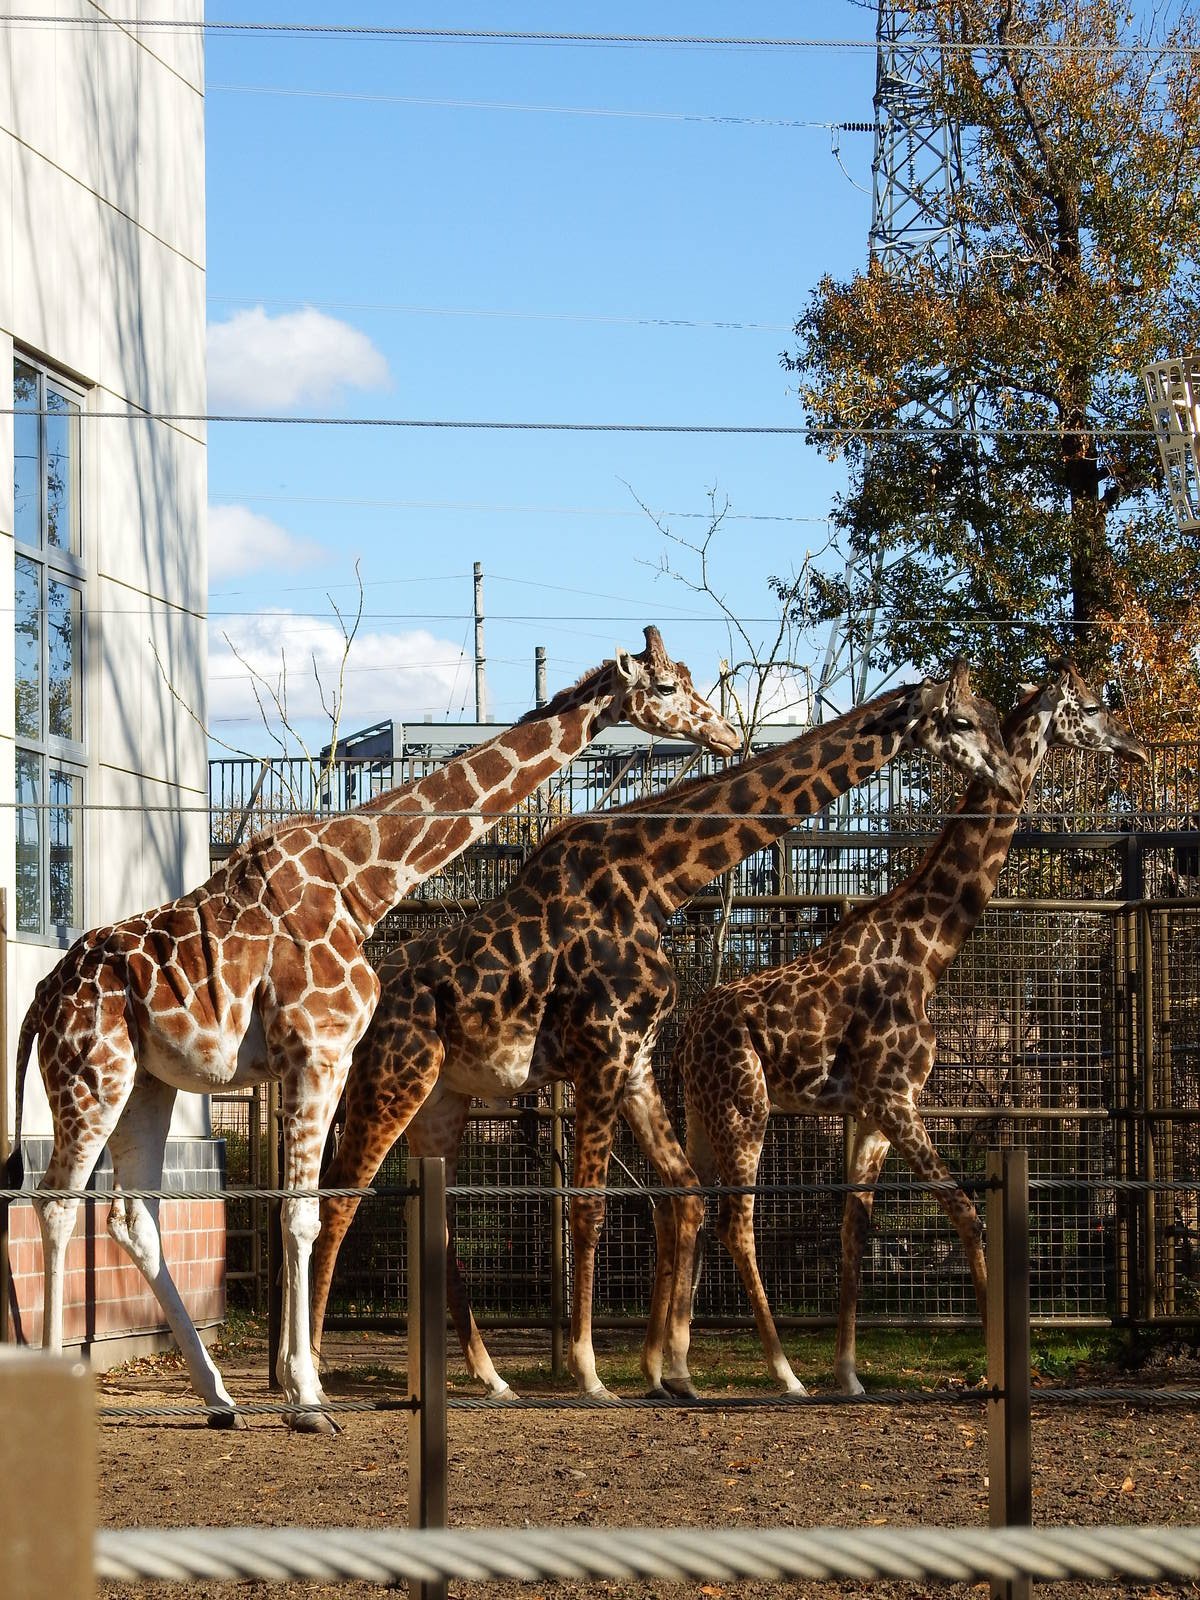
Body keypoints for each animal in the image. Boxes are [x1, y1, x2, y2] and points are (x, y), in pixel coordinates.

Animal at [3, 627, 740, 1431]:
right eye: (667, 687)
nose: (728, 734)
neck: (364, 881)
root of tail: (39, 998)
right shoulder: (317, 1053)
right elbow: (301, 1216)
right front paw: (307, 1399)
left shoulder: (322, 1060)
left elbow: (307, 1212)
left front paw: (300, 1391)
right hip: (89, 1075)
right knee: (54, 1202)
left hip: (147, 1083)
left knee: (132, 1217)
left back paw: (220, 1398)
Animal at [310, 662, 1022, 1398]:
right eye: (961, 720)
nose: (1008, 776)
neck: (657, 880)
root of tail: (367, 999)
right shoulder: (601, 1052)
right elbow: (589, 1206)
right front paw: (594, 1373)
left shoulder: (637, 1060)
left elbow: (679, 1194)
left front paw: (665, 1371)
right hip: (392, 1081)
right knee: (336, 1199)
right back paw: (304, 1372)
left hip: (441, 1101)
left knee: (431, 1219)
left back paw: (487, 1377)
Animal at [651, 663, 1148, 1400]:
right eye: (1088, 706)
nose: (1135, 748)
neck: (929, 949)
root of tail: (687, 1035)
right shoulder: (895, 1098)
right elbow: (966, 1212)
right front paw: (999, 1367)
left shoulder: (872, 1113)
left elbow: (856, 1230)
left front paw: (850, 1373)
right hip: (747, 1107)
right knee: (737, 1223)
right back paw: (782, 1373)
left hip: (703, 1111)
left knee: (685, 1201)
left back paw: (677, 1369)